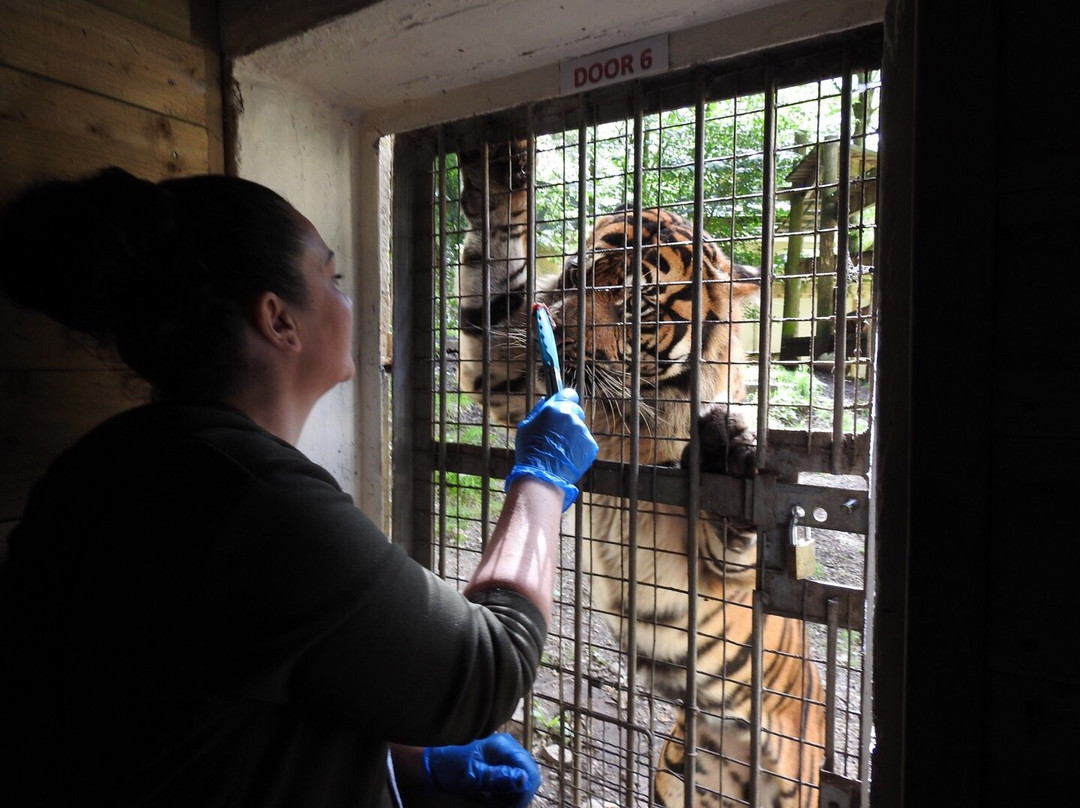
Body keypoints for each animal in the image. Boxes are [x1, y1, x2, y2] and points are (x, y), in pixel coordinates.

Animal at [455, 140, 825, 808]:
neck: (627, 417)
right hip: (676, 776)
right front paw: (499, 179)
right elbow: (492, 288)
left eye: (635, 306)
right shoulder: (504, 379)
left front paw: (727, 447)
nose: (553, 325)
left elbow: (734, 521)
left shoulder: (718, 574)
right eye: (577, 276)